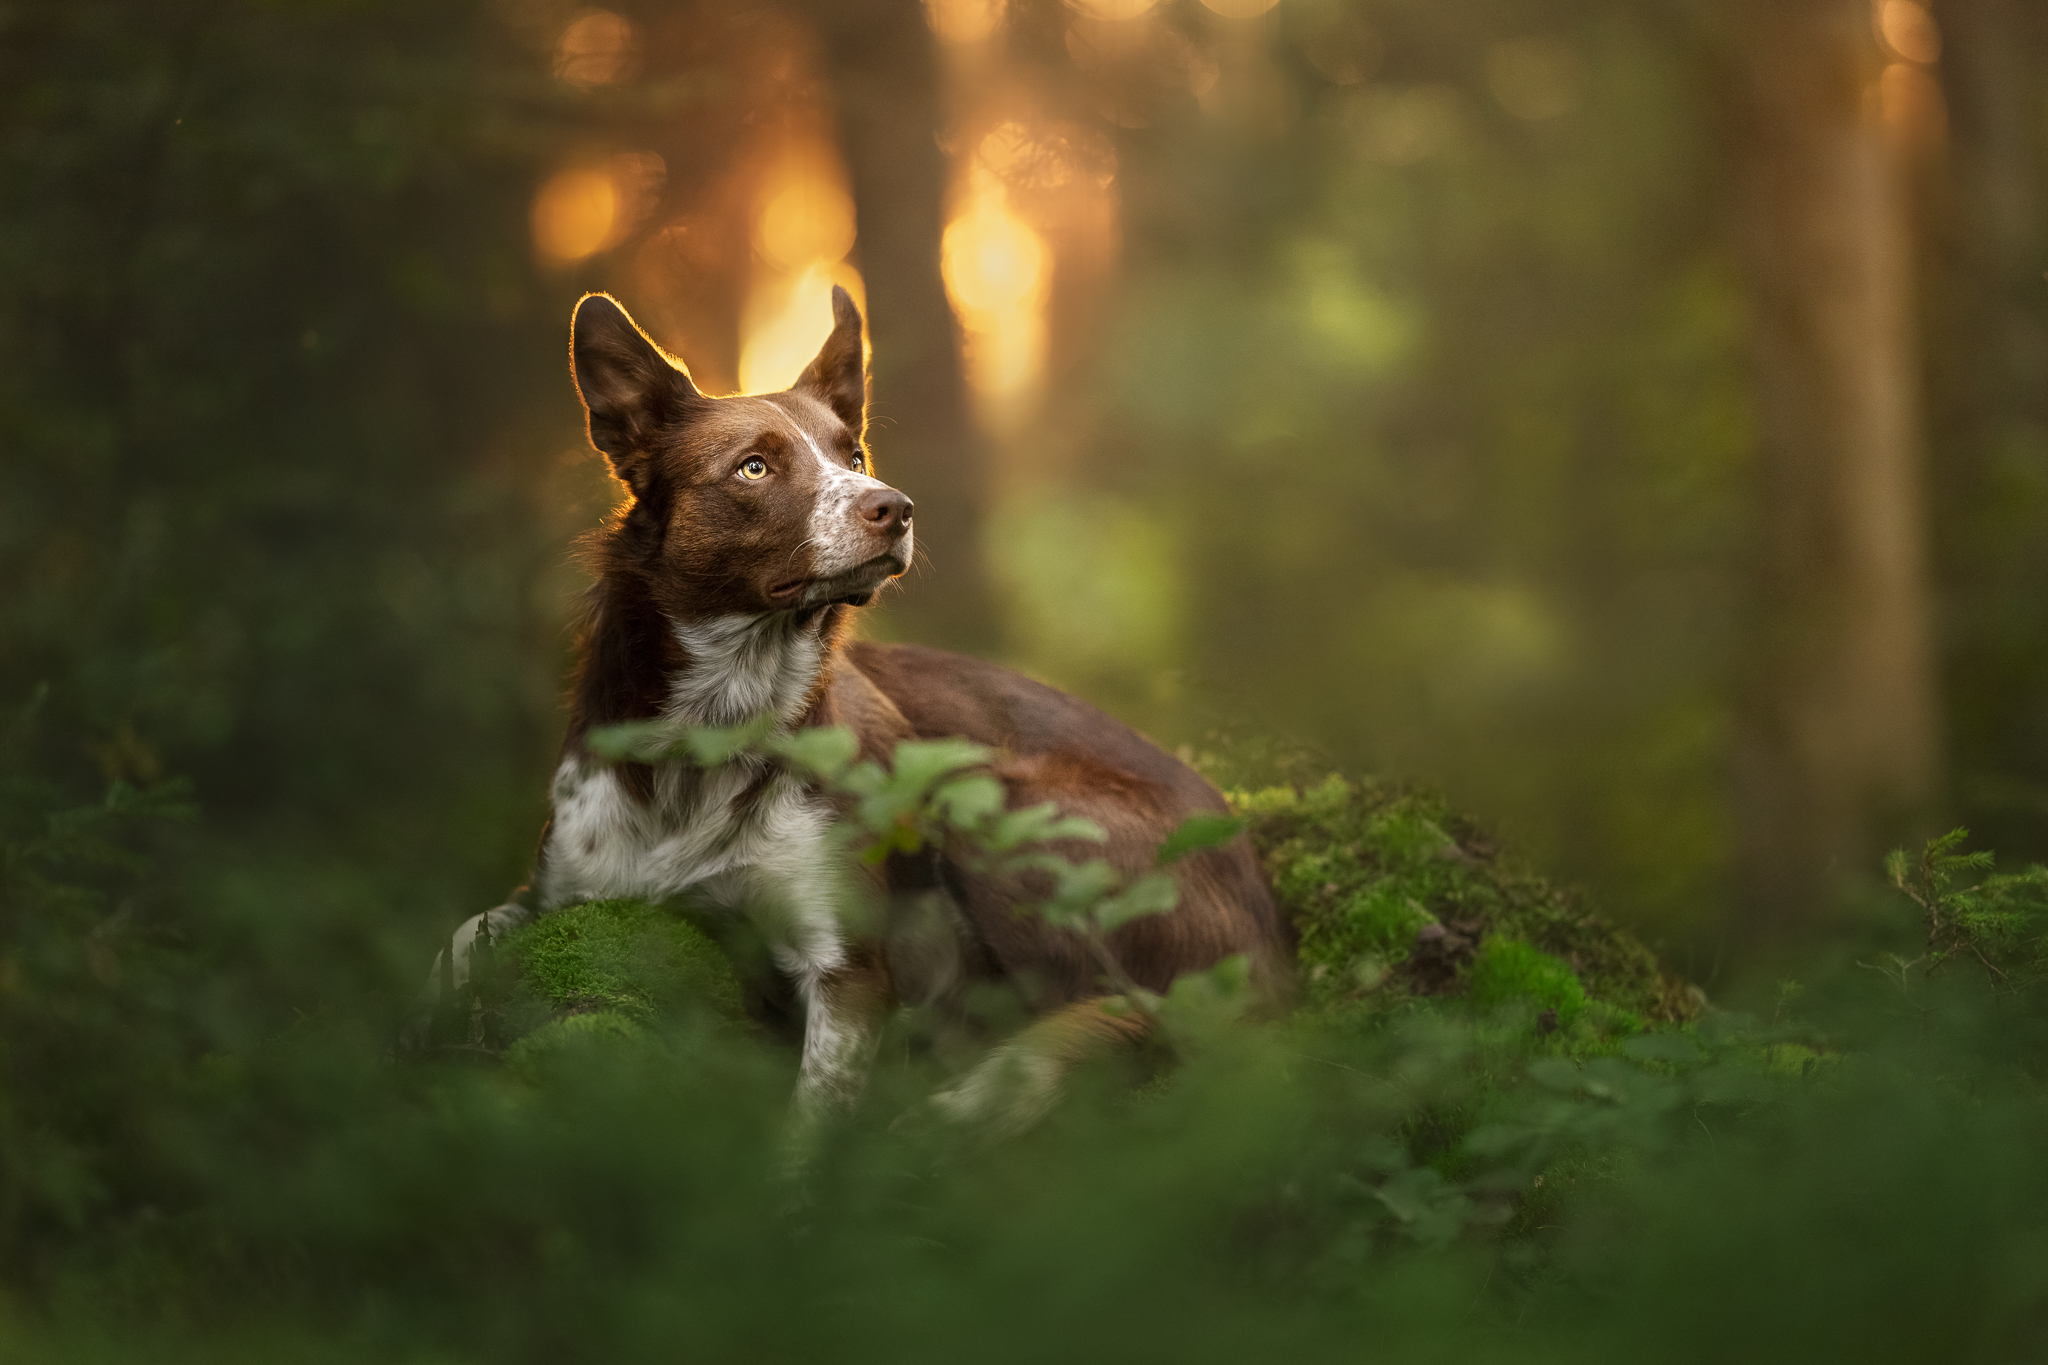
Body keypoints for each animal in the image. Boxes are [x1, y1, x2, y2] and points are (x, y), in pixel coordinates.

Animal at [442, 288, 1286, 1129]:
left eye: (853, 458)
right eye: (754, 466)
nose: (897, 507)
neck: (717, 724)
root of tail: (1272, 939)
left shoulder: (847, 968)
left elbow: (812, 1120)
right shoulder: (561, 887)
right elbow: (460, 937)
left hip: (997, 805)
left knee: (1125, 1011)